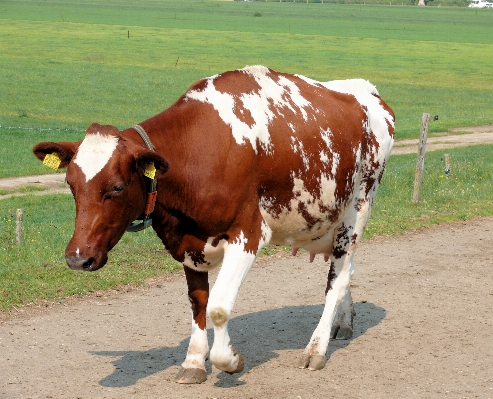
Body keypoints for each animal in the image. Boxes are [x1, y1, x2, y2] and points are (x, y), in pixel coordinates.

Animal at [32, 65, 394, 384]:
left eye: (117, 187)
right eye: (70, 184)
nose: (77, 257)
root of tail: (365, 89)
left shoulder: (248, 234)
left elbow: (219, 307)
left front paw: (229, 360)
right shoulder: (187, 241)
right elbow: (199, 304)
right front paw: (193, 362)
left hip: (357, 209)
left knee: (337, 279)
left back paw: (316, 348)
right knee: (345, 272)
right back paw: (342, 324)